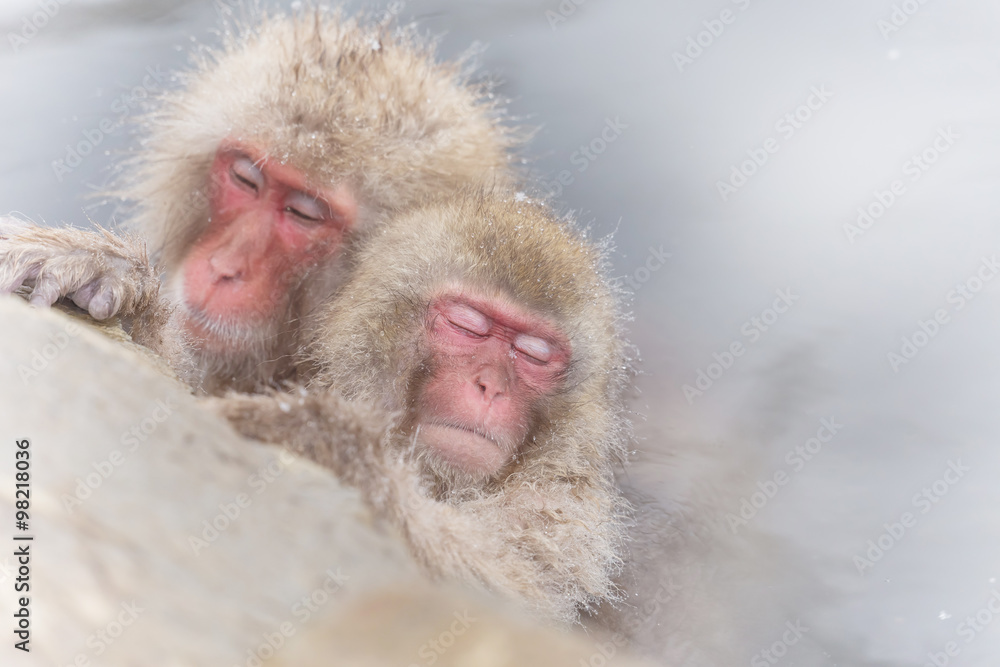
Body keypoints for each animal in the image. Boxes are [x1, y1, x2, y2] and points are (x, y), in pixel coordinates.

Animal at [209, 187, 635, 624]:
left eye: (534, 355)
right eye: (467, 326)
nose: (491, 387)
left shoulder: (561, 510)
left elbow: (505, 586)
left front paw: (319, 435)